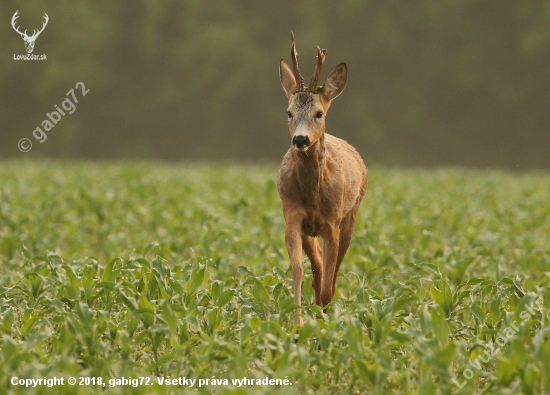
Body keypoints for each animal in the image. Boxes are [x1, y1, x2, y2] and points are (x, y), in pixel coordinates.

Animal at [280, 32, 366, 326]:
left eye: (319, 113)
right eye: (289, 112)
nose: (300, 140)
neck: (312, 193)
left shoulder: (332, 223)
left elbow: (331, 282)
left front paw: (326, 324)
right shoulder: (292, 217)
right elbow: (298, 270)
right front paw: (297, 324)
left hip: (350, 216)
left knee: (333, 272)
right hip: (310, 229)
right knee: (317, 266)